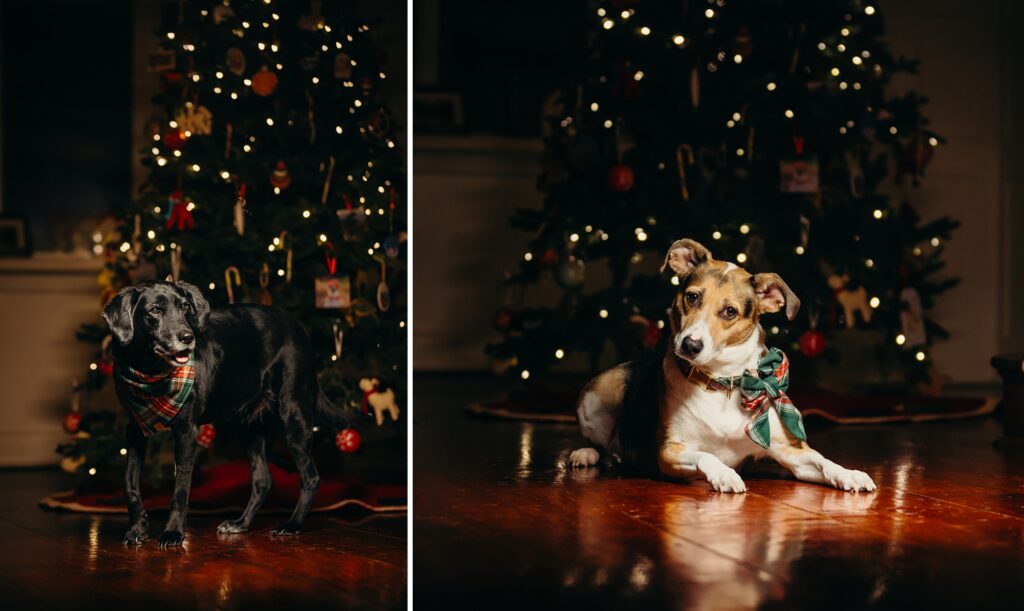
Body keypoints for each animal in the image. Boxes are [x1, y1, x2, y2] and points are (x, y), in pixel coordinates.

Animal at [102, 278, 352, 544]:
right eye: (155, 311)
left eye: (184, 307)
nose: (187, 337)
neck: (150, 373)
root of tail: (298, 327)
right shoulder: (135, 429)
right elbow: (130, 484)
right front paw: (137, 529)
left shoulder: (186, 432)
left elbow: (180, 488)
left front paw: (173, 532)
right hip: (249, 427)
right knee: (263, 480)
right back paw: (240, 523)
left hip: (293, 414)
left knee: (310, 477)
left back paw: (292, 524)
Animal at [565, 239, 876, 495]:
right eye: (692, 297)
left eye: (730, 311)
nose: (690, 345)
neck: (723, 383)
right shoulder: (669, 452)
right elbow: (706, 455)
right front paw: (725, 474)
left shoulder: (791, 451)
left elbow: (823, 461)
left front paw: (850, 474)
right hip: (597, 393)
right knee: (601, 444)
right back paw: (585, 454)